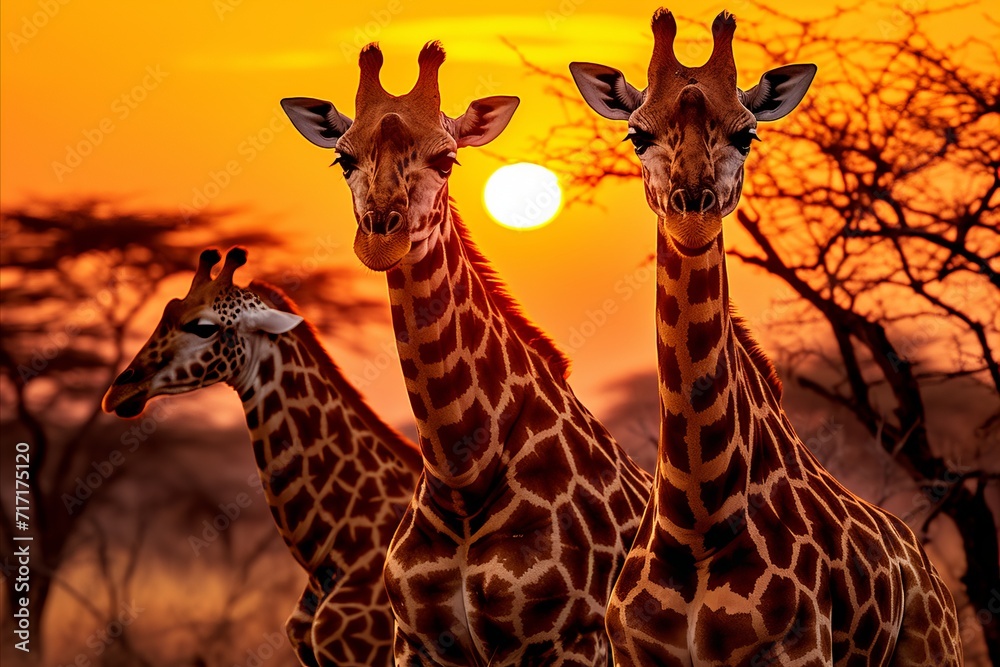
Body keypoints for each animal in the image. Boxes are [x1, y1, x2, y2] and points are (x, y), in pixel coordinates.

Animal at [281, 42, 652, 666]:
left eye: (447, 160)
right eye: (343, 161)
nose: (381, 236)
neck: (463, 477)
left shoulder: (570, 642)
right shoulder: (417, 645)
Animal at [569, 9, 963, 666]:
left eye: (747, 135)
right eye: (637, 136)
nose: (693, 208)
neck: (696, 520)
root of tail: (931, 573)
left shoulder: (797, 650)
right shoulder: (632, 653)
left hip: (933, 651)